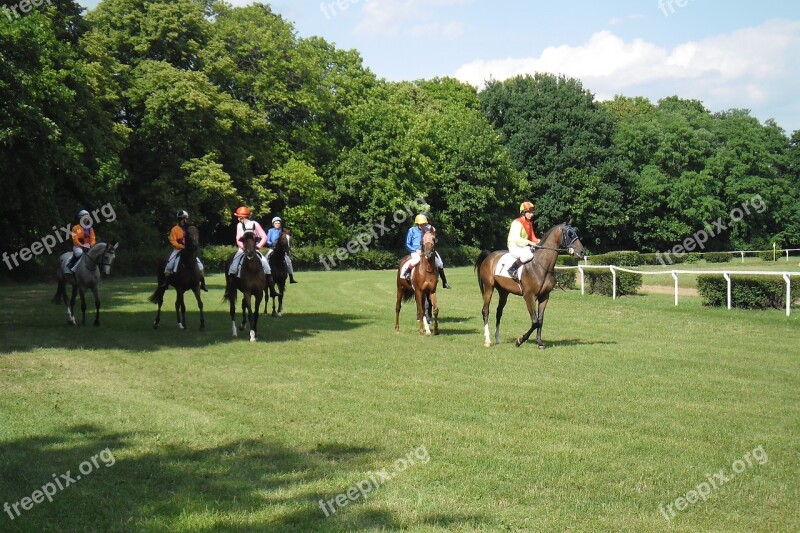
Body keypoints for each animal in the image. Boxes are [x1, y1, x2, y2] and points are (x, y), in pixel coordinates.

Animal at [476, 221, 580, 350]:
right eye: (570, 234)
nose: (582, 252)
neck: (541, 265)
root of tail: (490, 256)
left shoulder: (544, 297)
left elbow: (540, 320)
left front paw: (539, 342)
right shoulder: (529, 296)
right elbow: (535, 322)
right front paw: (520, 340)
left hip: (504, 292)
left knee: (499, 312)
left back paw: (497, 338)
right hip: (489, 288)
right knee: (485, 311)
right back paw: (488, 340)